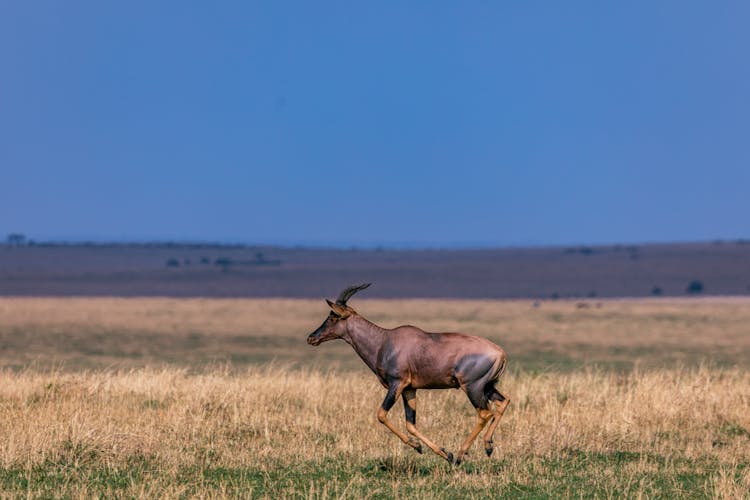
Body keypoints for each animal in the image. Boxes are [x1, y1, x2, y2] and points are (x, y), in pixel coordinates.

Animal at [306, 284, 512, 462]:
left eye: (333, 317)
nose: (311, 338)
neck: (384, 341)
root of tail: (500, 352)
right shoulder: (409, 389)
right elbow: (411, 424)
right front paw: (439, 451)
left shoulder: (397, 384)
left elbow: (381, 415)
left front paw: (432, 450)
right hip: (487, 386)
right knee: (503, 401)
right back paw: (487, 446)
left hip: (472, 387)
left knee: (485, 413)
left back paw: (461, 454)